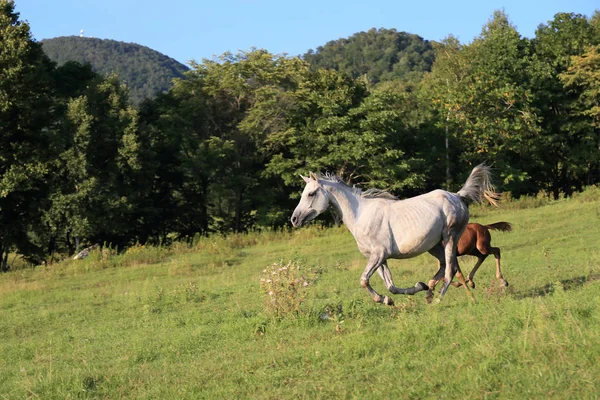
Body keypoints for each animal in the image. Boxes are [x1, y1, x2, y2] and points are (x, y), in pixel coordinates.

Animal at [290, 164, 496, 304]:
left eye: (311, 194)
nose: (294, 219)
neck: (361, 215)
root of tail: (457, 196)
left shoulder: (378, 255)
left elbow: (364, 280)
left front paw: (384, 299)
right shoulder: (380, 258)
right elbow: (391, 286)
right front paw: (405, 292)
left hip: (450, 238)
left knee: (450, 270)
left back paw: (437, 298)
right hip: (434, 245)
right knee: (445, 266)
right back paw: (428, 290)